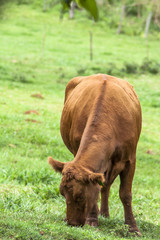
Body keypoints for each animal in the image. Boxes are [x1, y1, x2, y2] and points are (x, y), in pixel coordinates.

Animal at [48, 74, 142, 235]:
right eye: (62, 193)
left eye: (80, 196)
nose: (72, 223)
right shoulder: (79, 152)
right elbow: (97, 187)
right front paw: (92, 220)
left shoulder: (130, 159)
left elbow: (125, 194)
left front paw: (132, 228)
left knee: (106, 186)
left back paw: (104, 214)